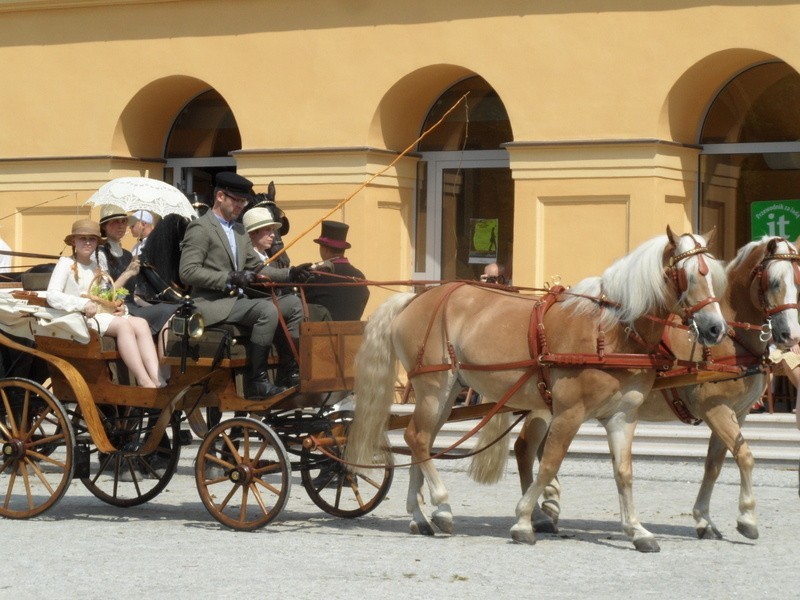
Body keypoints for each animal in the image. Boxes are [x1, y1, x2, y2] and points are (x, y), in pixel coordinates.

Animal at [346, 227, 728, 552]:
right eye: (689, 275)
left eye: (713, 277)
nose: (715, 328)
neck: (609, 332)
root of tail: (415, 299)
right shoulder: (569, 413)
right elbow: (549, 464)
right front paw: (524, 521)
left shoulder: (623, 416)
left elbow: (624, 473)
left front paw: (636, 530)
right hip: (433, 387)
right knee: (420, 439)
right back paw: (441, 506)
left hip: (445, 393)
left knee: (418, 440)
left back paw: (420, 516)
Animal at [504, 237, 800, 540]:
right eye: (774, 282)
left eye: (798, 279)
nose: (791, 335)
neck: (730, 338)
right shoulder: (716, 410)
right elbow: (744, 457)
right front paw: (747, 518)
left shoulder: (736, 414)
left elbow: (714, 465)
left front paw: (704, 518)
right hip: (544, 406)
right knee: (525, 449)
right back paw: (536, 514)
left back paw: (548, 507)